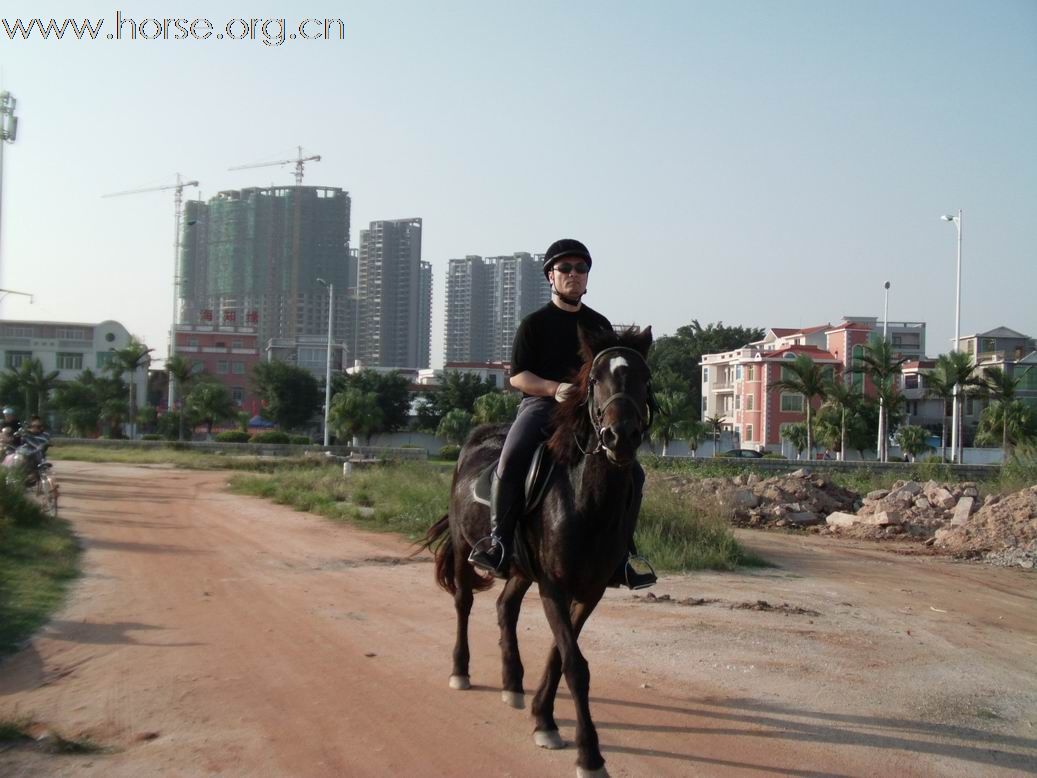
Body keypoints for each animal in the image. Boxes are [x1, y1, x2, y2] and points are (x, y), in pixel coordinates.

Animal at [418, 327, 647, 778]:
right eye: (595, 380)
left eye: (644, 378)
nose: (620, 437)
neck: (586, 501)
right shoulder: (554, 587)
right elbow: (575, 664)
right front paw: (589, 755)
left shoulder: (589, 591)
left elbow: (561, 655)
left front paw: (544, 719)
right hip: (464, 547)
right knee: (464, 602)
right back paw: (460, 670)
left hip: (522, 569)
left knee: (505, 607)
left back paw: (512, 683)